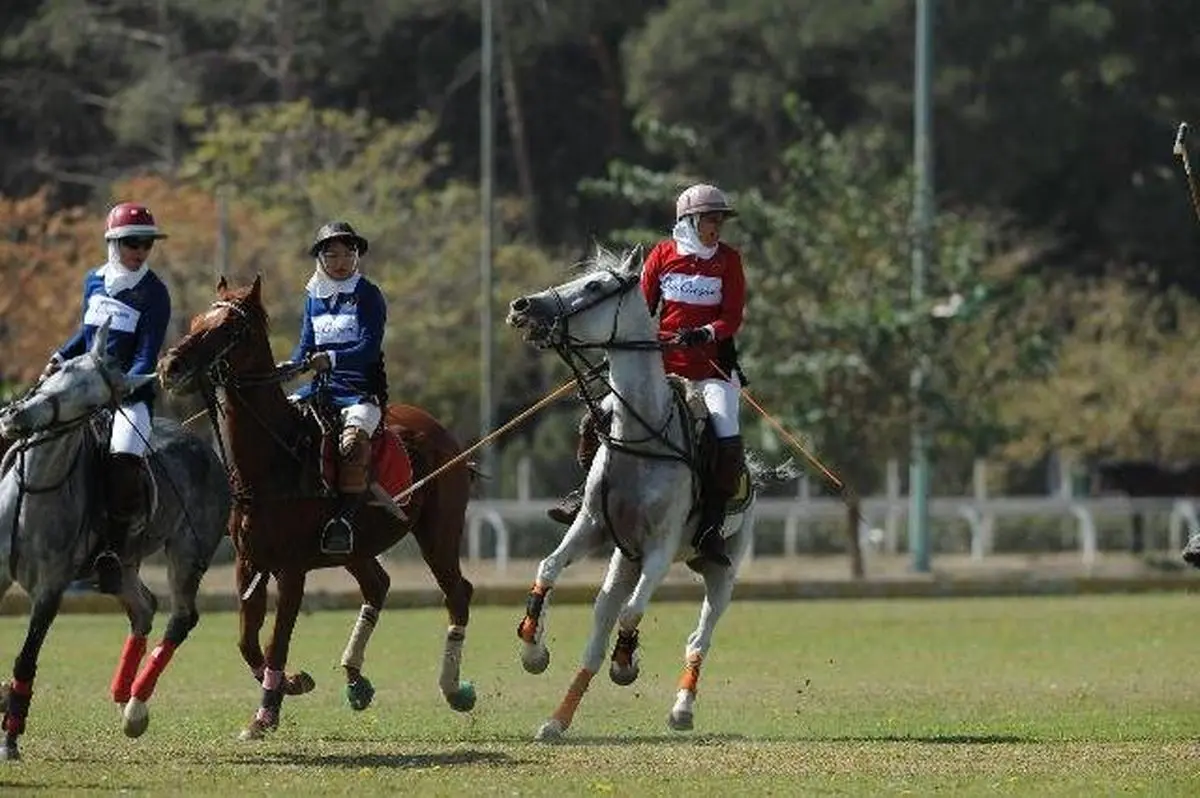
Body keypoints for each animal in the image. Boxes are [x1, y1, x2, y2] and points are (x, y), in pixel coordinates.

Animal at [0, 319, 229, 758]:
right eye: (58, 371)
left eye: (92, 402)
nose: (16, 416)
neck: (33, 487)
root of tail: (206, 448)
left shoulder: (50, 590)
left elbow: (26, 658)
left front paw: (11, 737)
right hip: (123, 564)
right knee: (143, 607)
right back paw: (122, 691)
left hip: (188, 552)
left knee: (181, 616)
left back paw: (136, 706)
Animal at [157, 276, 475, 739]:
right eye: (197, 320)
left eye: (230, 329)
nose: (170, 365)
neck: (271, 461)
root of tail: (442, 432)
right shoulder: (249, 563)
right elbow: (247, 639)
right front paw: (291, 683)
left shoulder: (291, 569)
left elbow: (277, 640)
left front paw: (265, 714)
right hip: (356, 546)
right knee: (377, 585)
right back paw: (356, 680)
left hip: (439, 532)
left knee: (457, 592)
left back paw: (454, 689)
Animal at [504, 246, 792, 739]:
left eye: (595, 286)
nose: (523, 306)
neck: (642, 435)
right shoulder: (593, 527)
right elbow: (549, 567)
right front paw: (533, 649)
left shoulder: (660, 548)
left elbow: (633, 613)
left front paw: (627, 663)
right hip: (624, 560)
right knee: (599, 626)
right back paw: (557, 720)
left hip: (722, 571)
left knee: (698, 636)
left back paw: (681, 708)